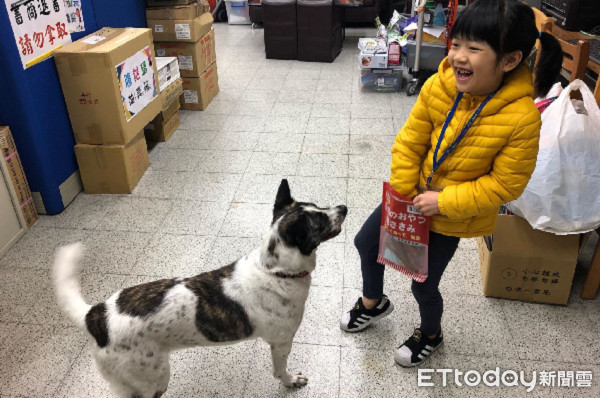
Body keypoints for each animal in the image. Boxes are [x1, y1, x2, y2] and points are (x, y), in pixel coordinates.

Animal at [55, 180, 352, 398]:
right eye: (319, 221)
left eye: (318, 206)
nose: (344, 207)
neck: (276, 271)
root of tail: (97, 316)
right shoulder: (281, 342)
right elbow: (281, 371)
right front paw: (290, 381)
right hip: (151, 379)